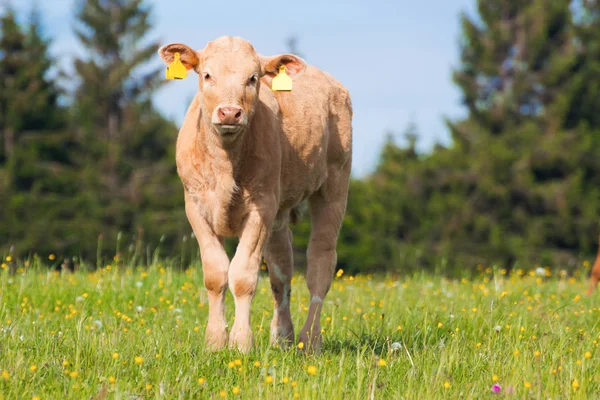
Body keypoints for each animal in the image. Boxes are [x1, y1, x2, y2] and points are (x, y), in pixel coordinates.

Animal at [159, 36, 352, 352]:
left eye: (252, 78)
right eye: (206, 75)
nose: (229, 112)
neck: (225, 163)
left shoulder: (261, 207)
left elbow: (242, 276)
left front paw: (240, 343)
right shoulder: (195, 205)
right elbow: (215, 274)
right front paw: (215, 341)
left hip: (335, 185)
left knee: (320, 266)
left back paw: (309, 340)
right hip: (281, 210)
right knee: (281, 270)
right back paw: (282, 337)